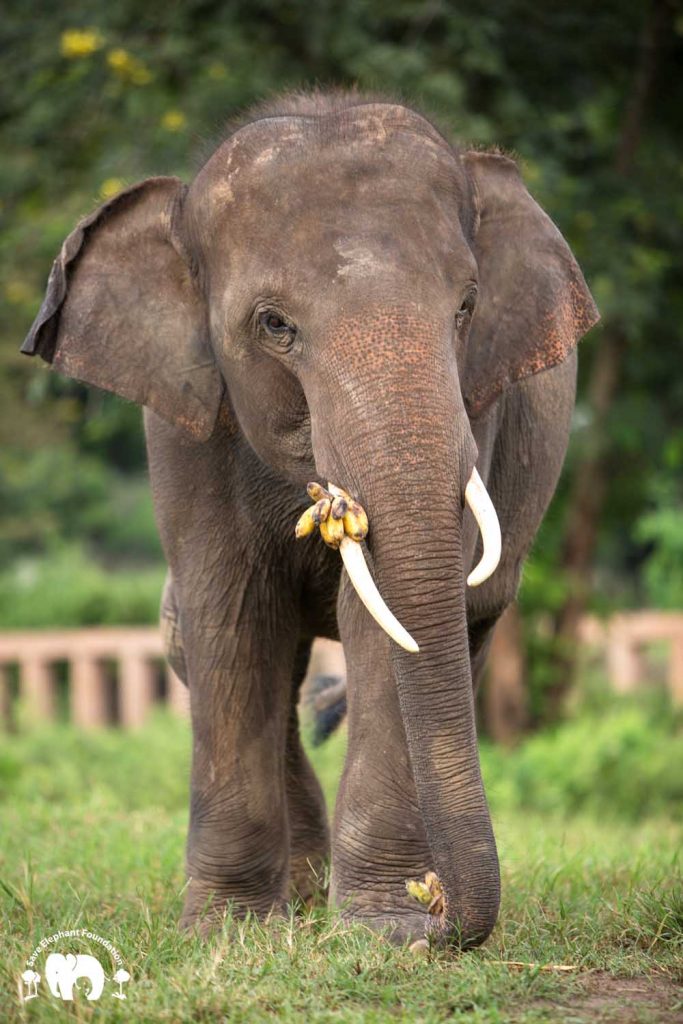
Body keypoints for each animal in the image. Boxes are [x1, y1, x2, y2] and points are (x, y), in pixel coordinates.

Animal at [22, 90, 598, 948]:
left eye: (465, 307)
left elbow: (385, 624)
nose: (437, 916)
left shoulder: (479, 406)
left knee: (466, 634)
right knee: (207, 643)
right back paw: (297, 890)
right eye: (273, 324)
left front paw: (381, 930)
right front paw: (226, 932)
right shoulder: (185, 425)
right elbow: (228, 615)